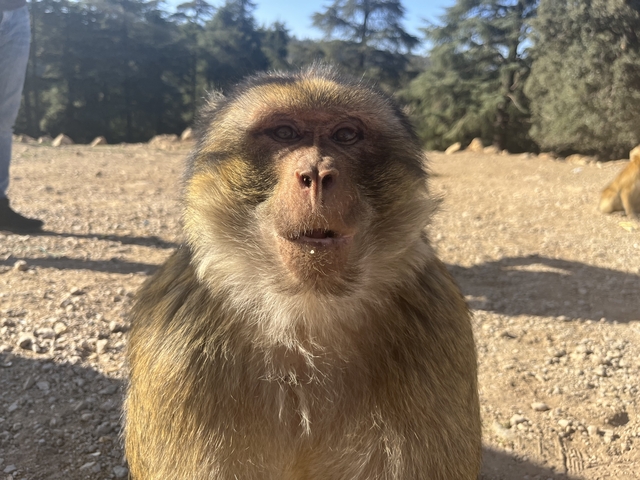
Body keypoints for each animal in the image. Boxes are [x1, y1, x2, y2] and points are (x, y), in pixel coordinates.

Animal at [124, 65, 482, 480]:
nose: (317, 173)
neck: (304, 319)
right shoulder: (176, 351)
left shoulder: (438, 327)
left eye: (346, 135)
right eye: (284, 133)